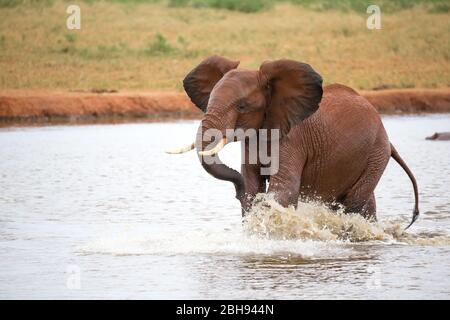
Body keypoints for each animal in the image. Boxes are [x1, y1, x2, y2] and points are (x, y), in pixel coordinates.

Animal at [167, 56, 420, 229]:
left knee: (352, 204)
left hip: (376, 154)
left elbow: (283, 191)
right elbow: (252, 183)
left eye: (242, 106)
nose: (236, 189)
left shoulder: (293, 138)